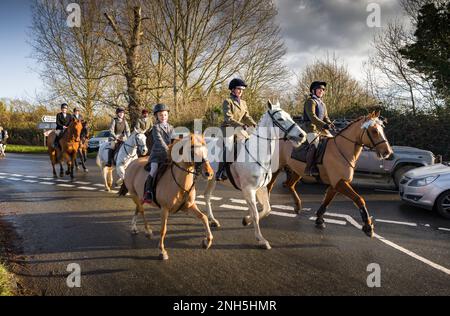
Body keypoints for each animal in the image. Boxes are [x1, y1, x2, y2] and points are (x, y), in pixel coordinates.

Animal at [203, 100, 306, 249]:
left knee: (207, 196)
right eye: (280, 118)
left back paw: (212, 220)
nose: (302, 135)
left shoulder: (261, 188)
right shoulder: (249, 190)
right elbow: (256, 214)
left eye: (290, 116)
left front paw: (246, 220)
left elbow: (267, 209)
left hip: (212, 179)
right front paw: (261, 240)